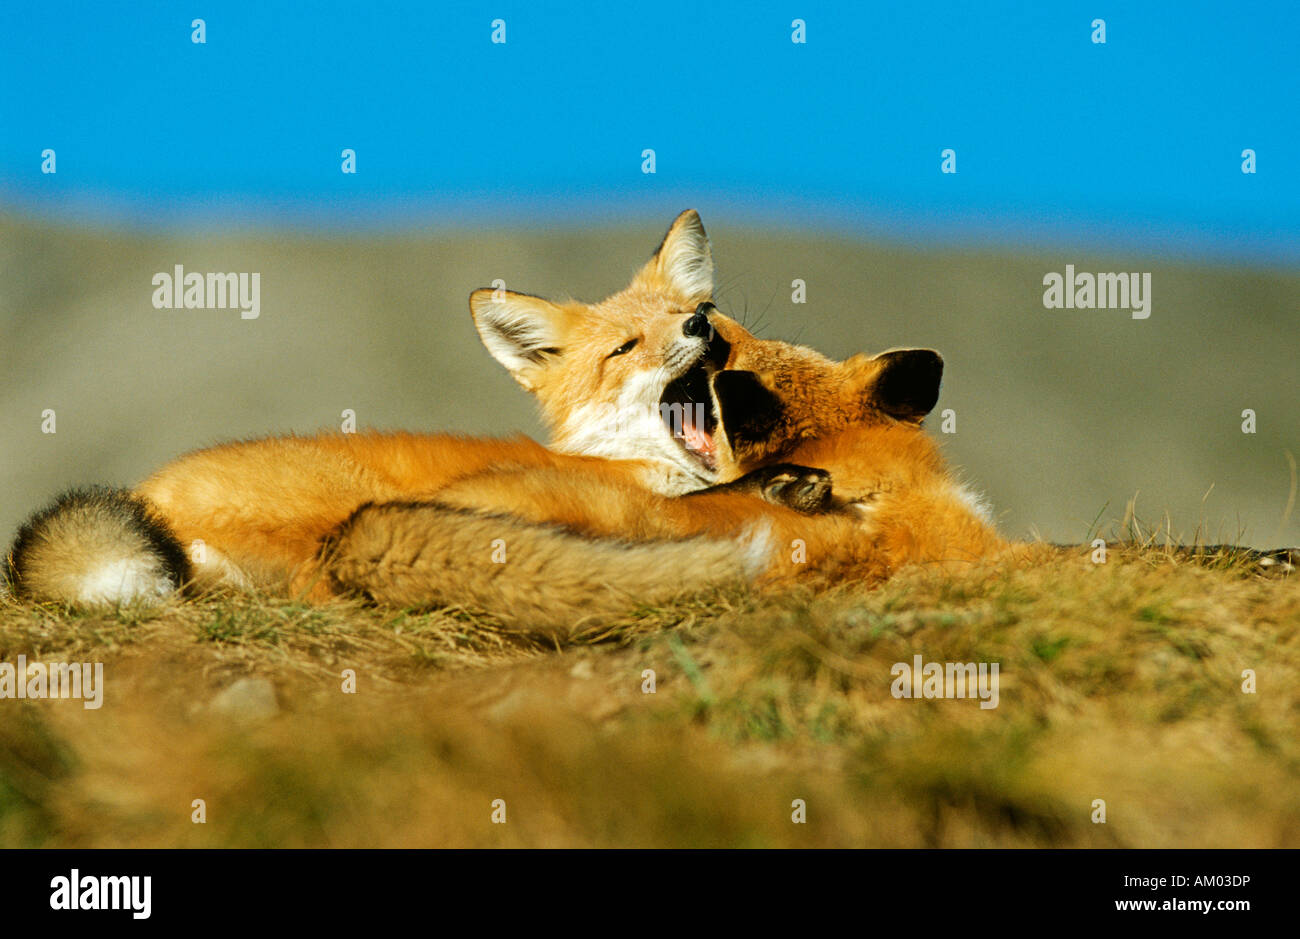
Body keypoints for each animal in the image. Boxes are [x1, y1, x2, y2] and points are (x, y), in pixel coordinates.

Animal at [5, 209, 811, 606]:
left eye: (699, 310)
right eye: (625, 347)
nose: (699, 326)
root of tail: (148, 492)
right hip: (346, 508)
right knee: (311, 584)